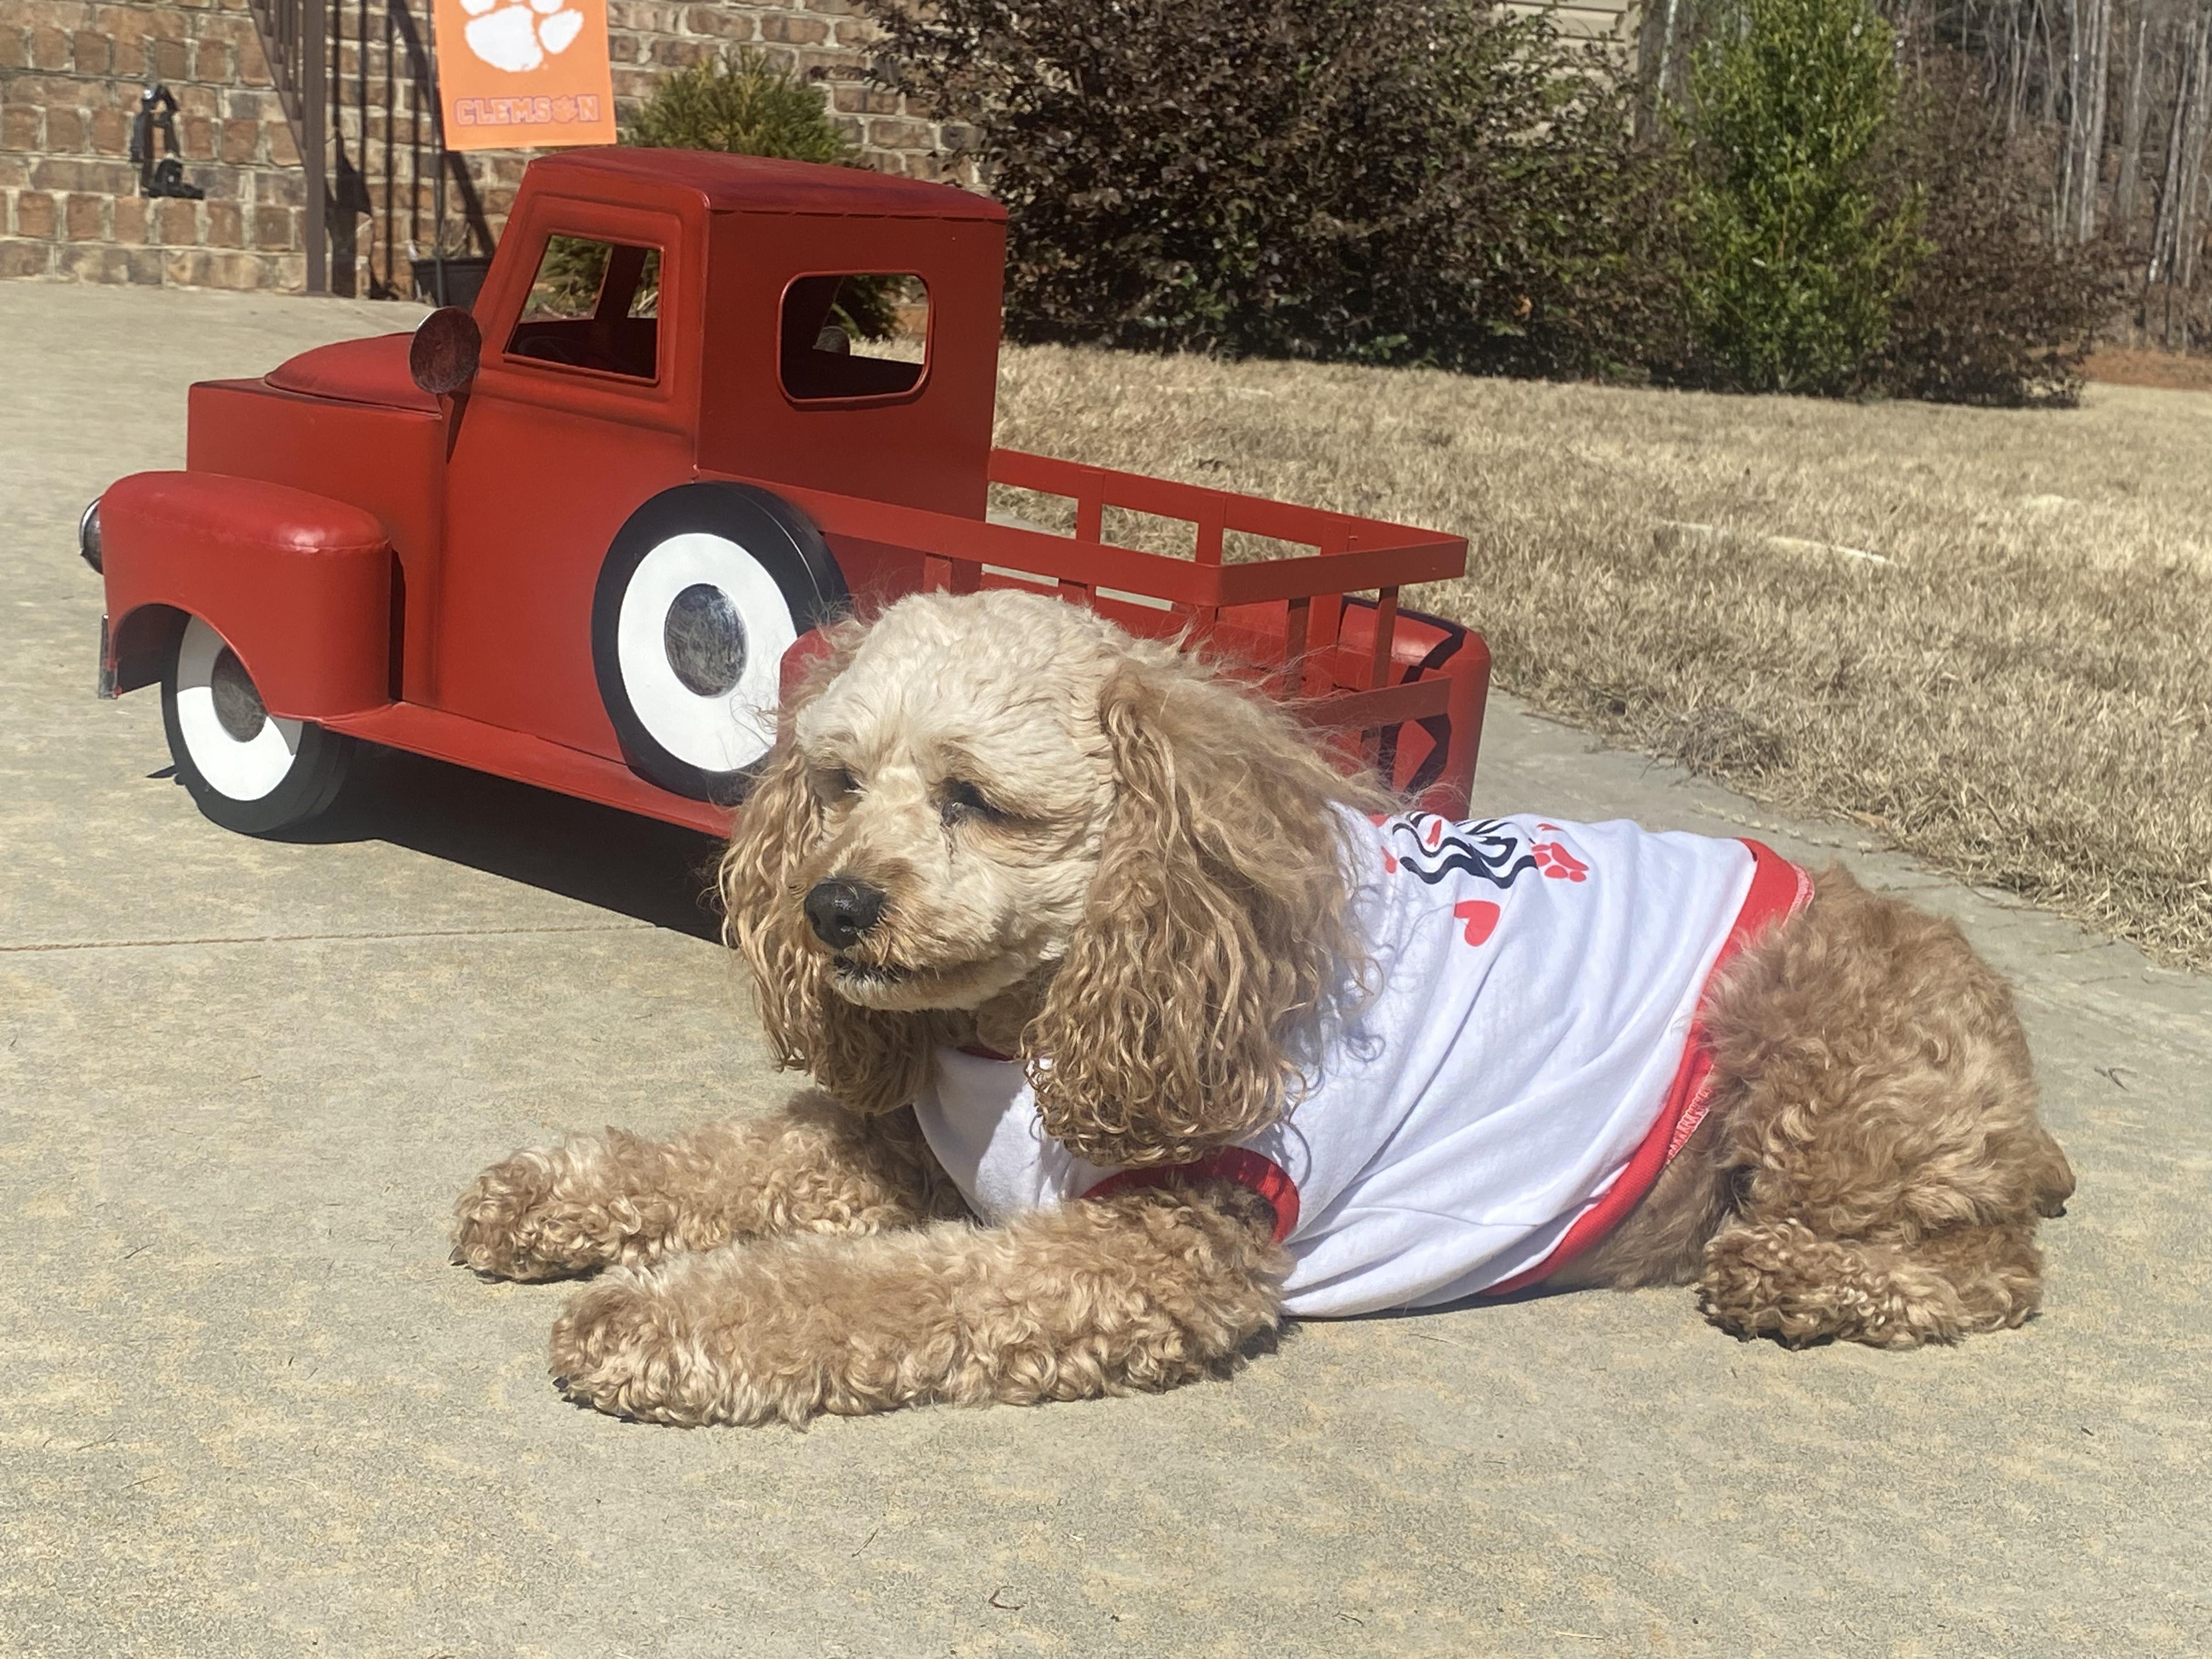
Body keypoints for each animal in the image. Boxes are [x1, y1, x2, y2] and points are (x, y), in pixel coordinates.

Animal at [453, 588, 2075, 1427]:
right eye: (839, 782)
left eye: (975, 800)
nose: (832, 908)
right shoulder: (906, 1141)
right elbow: (724, 1160)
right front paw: (551, 1199)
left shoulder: (1147, 1253)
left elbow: (872, 1292)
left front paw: (651, 1322)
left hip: (1811, 1060)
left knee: (1993, 1271)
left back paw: (1797, 1279)